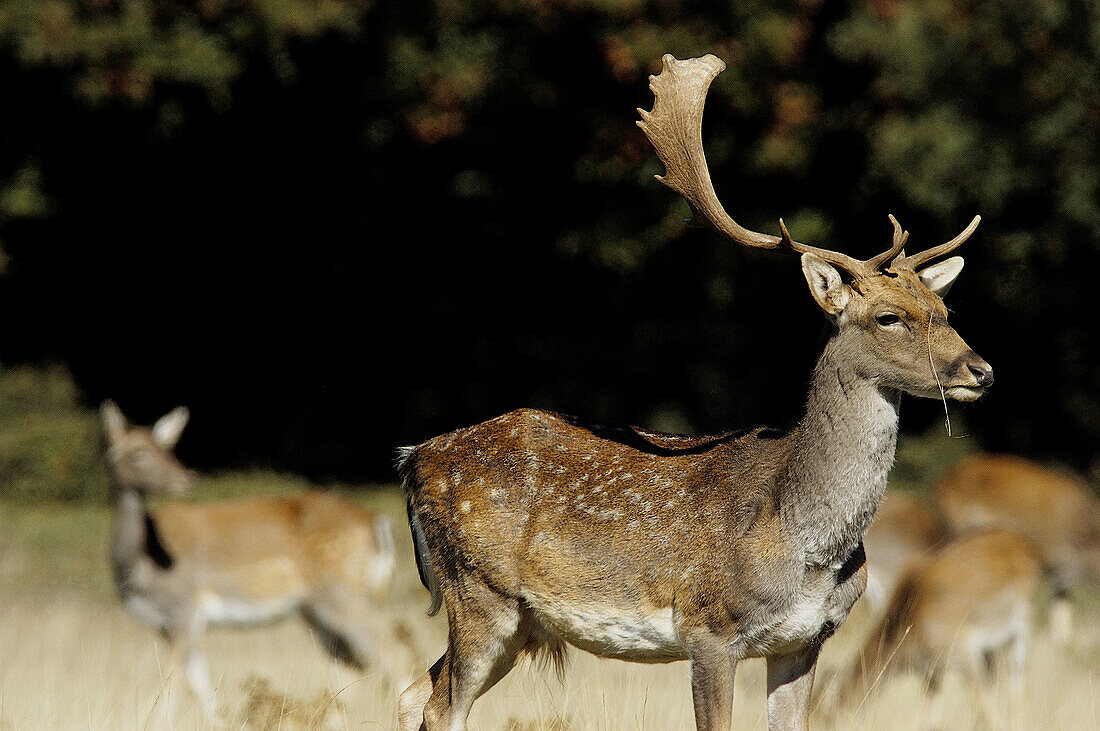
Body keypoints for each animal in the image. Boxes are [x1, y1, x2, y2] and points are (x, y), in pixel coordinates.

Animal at [102, 402, 413, 721]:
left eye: (167, 448)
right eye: (138, 452)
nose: (185, 477)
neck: (139, 563)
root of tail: (377, 523)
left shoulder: (183, 608)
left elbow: (173, 684)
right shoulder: (166, 624)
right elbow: (199, 684)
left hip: (342, 595)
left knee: (396, 656)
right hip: (315, 610)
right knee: (351, 668)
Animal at [398, 54, 998, 729]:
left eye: (944, 309)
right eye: (889, 317)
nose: (980, 370)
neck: (806, 547)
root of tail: (413, 459)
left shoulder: (806, 639)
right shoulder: (712, 626)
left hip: (520, 621)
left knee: (415, 691)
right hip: (480, 592)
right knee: (442, 706)